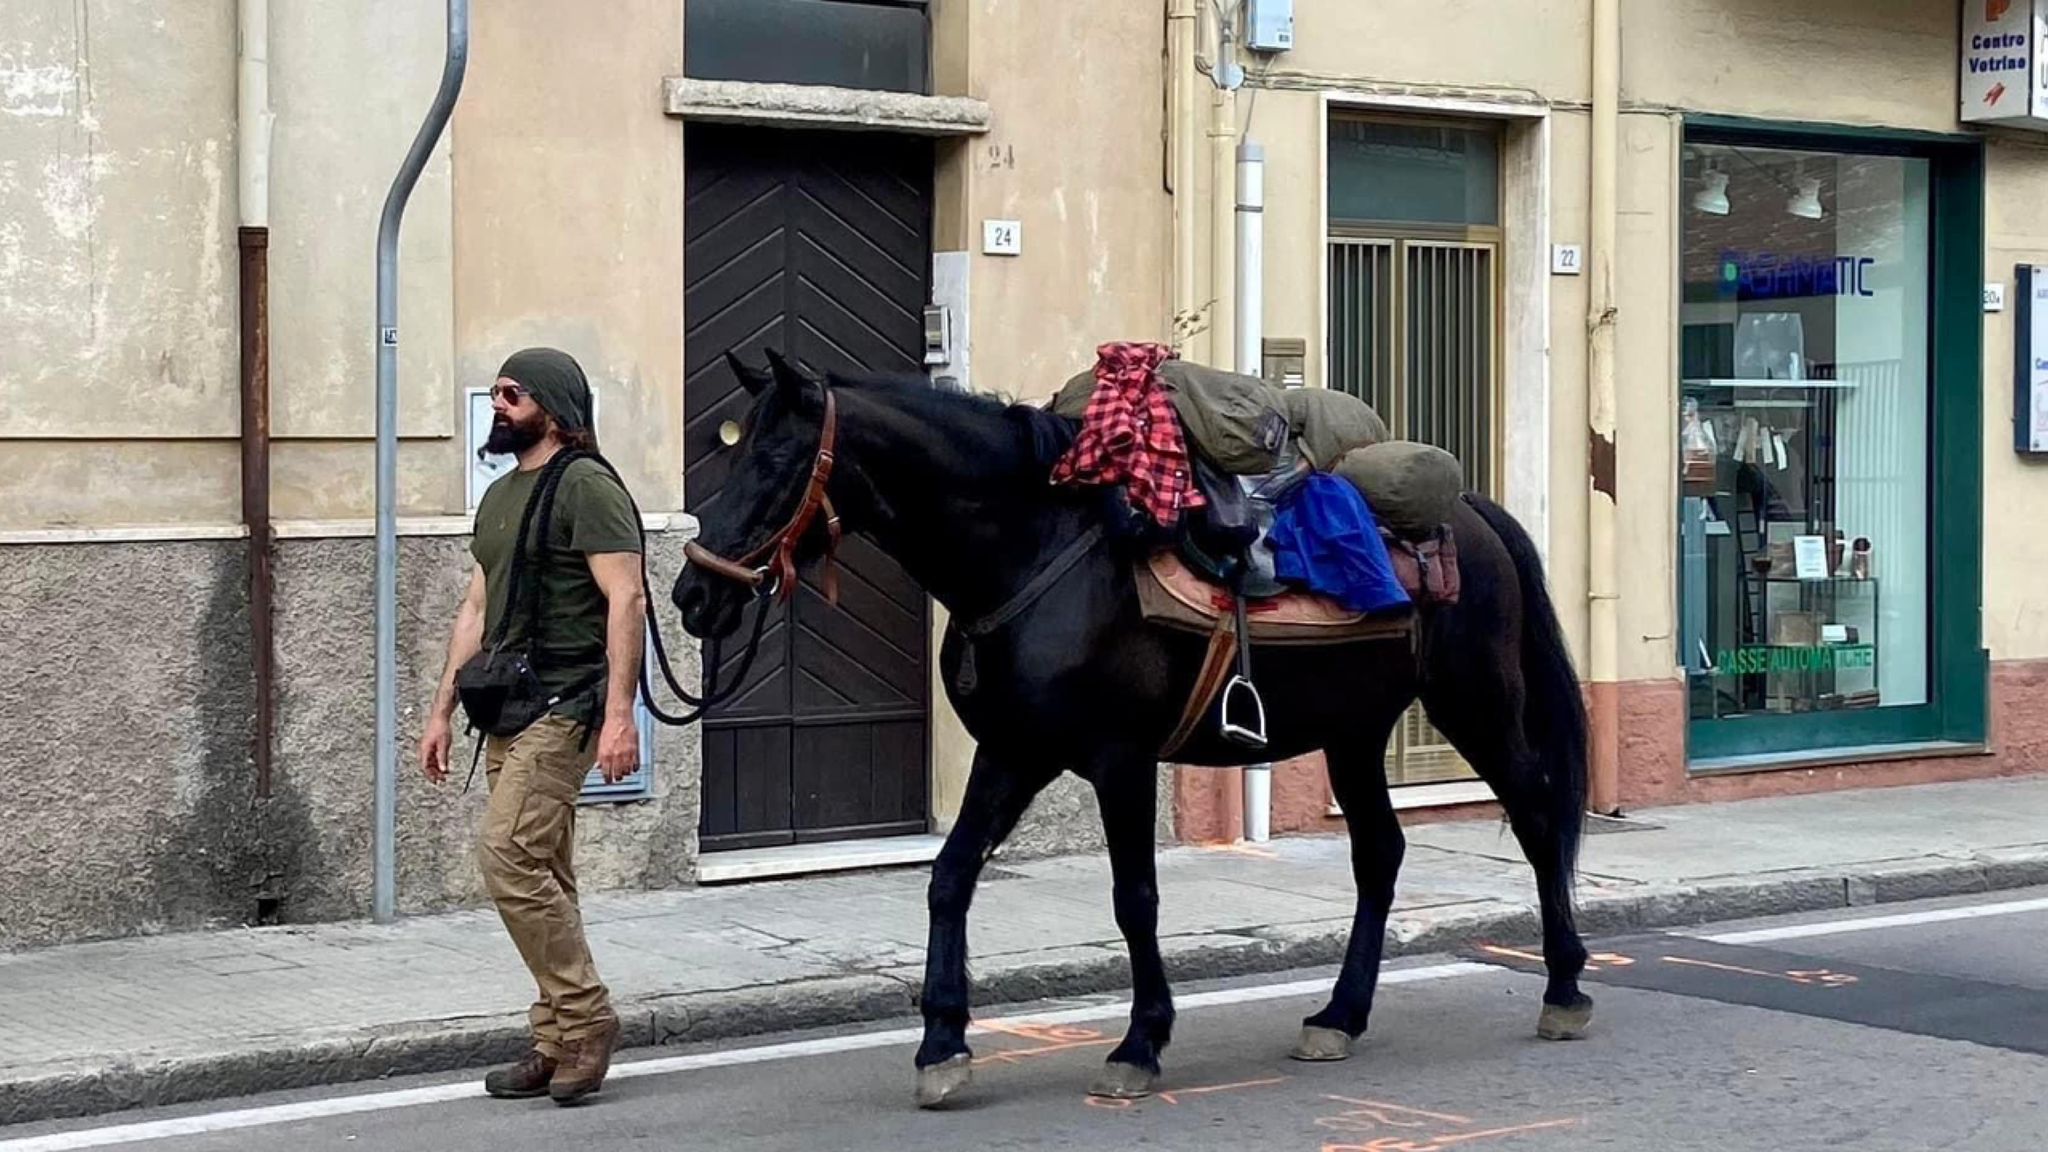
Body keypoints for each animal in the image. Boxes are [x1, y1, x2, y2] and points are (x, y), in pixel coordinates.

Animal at [675, 350, 1597, 1106]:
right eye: (732, 451)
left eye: (778, 459)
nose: (692, 593)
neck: (1030, 550)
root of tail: (1471, 508)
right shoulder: (1012, 752)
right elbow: (949, 877)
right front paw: (942, 1044)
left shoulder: (1118, 761)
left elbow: (1135, 898)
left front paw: (1139, 1042)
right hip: (1356, 731)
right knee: (1380, 853)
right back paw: (1339, 1015)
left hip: (1475, 703)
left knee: (1536, 812)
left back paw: (1564, 988)